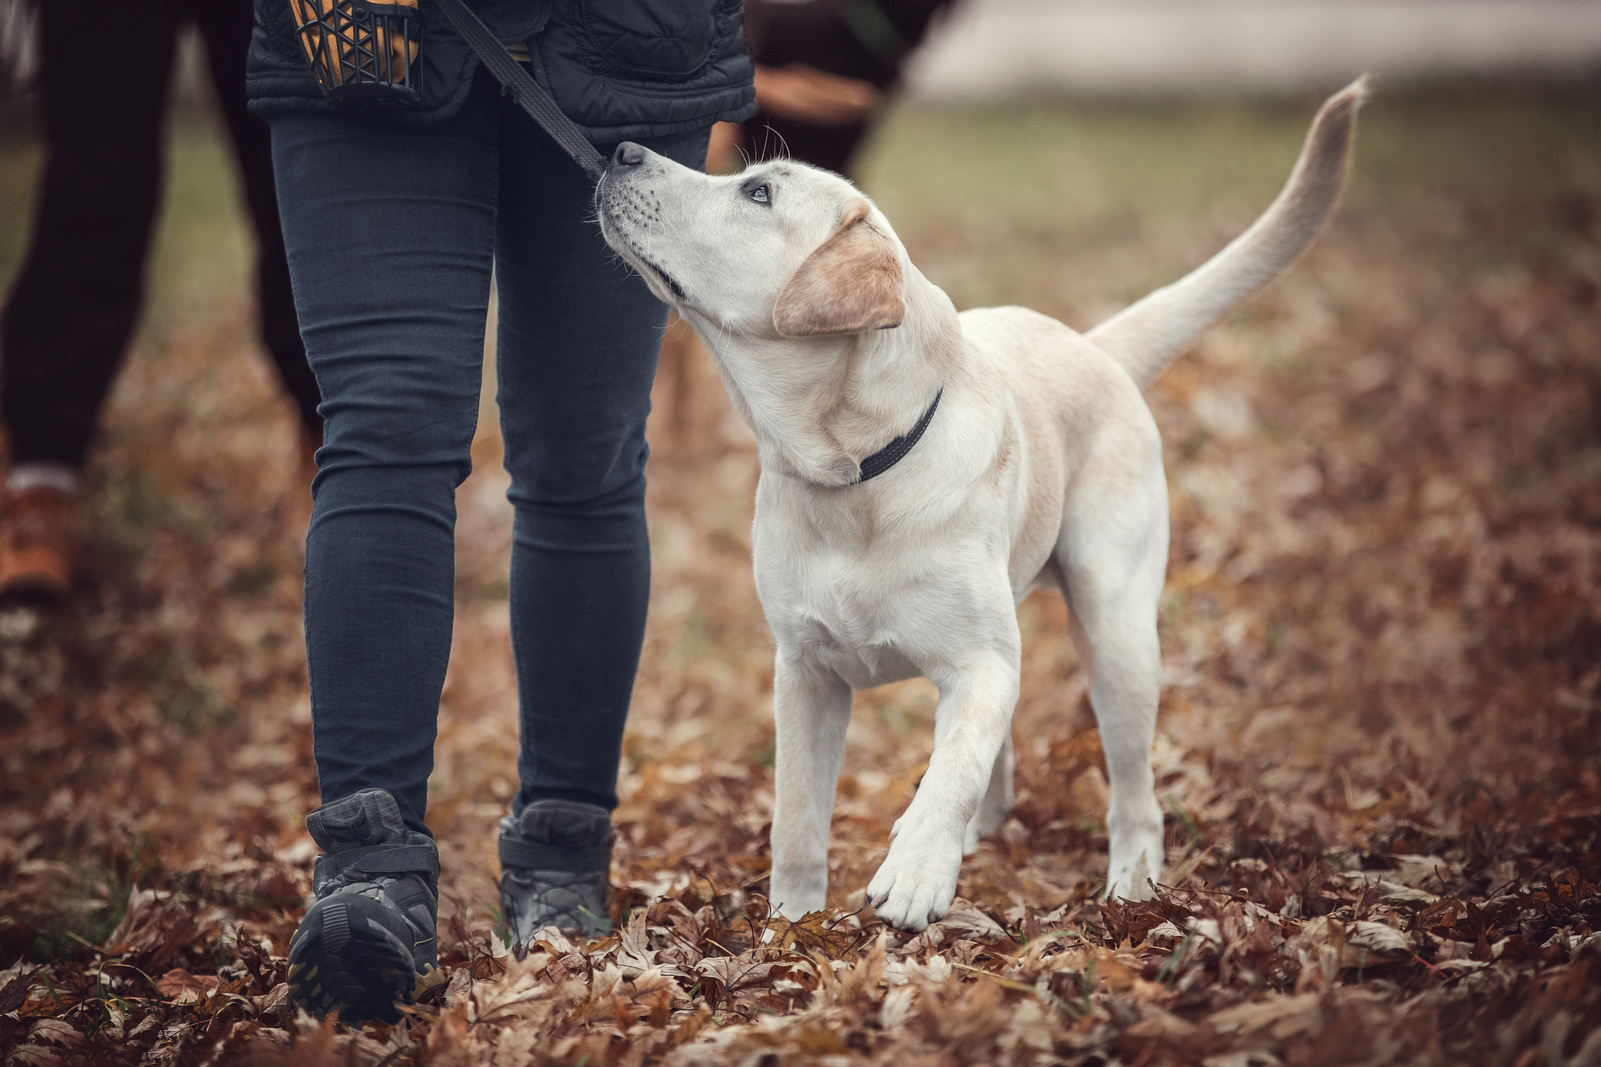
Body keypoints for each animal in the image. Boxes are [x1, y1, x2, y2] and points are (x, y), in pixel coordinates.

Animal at [601, 83, 1364, 929]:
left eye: (757, 193)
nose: (620, 150)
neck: (856, 475)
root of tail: (1093, 346)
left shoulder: (980, 662)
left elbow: (952, 766)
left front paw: (913, 870)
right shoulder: (804, 672)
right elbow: (797, 817)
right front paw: (792, 926)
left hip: (1117, 629)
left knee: (1131, 790)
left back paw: (1131, 885)